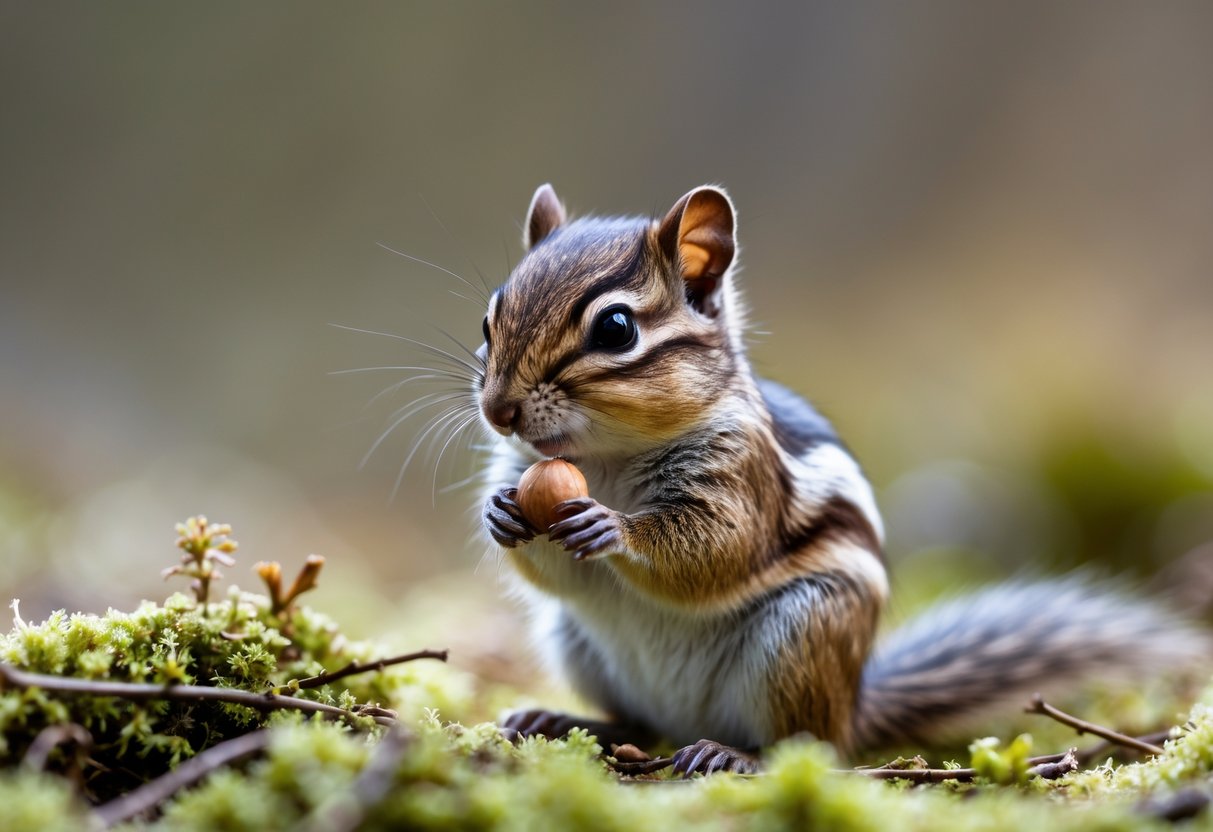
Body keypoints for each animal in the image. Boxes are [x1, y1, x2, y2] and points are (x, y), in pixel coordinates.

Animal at [475, 183, 1206, 775]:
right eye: (490, 317)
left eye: (616, 328)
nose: (497, 410)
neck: (608, 459)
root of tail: (852, 705)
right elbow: (558, 574)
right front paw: (502, 514)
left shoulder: (741, 474)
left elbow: (715, 551)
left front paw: (612, 526)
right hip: (573, 640)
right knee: (638, 722)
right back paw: (559, 719)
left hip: (804, 634)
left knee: (807, 745)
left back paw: (732, 753)